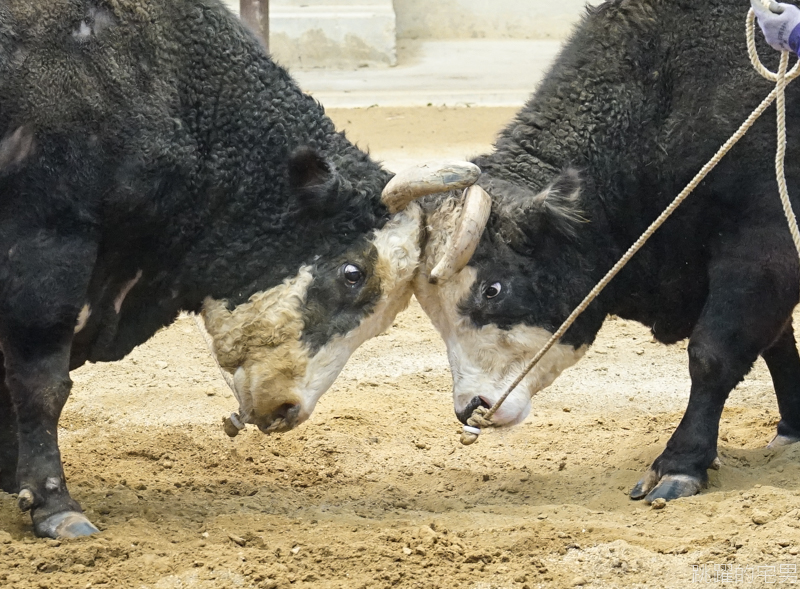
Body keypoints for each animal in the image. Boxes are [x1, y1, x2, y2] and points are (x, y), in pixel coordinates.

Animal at [416, 0, 800, 504]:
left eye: (492, 290)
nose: (469, 409)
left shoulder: (764, 247)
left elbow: (712, 355)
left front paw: (680, 464)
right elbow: (778, 345)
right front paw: (794, 429)